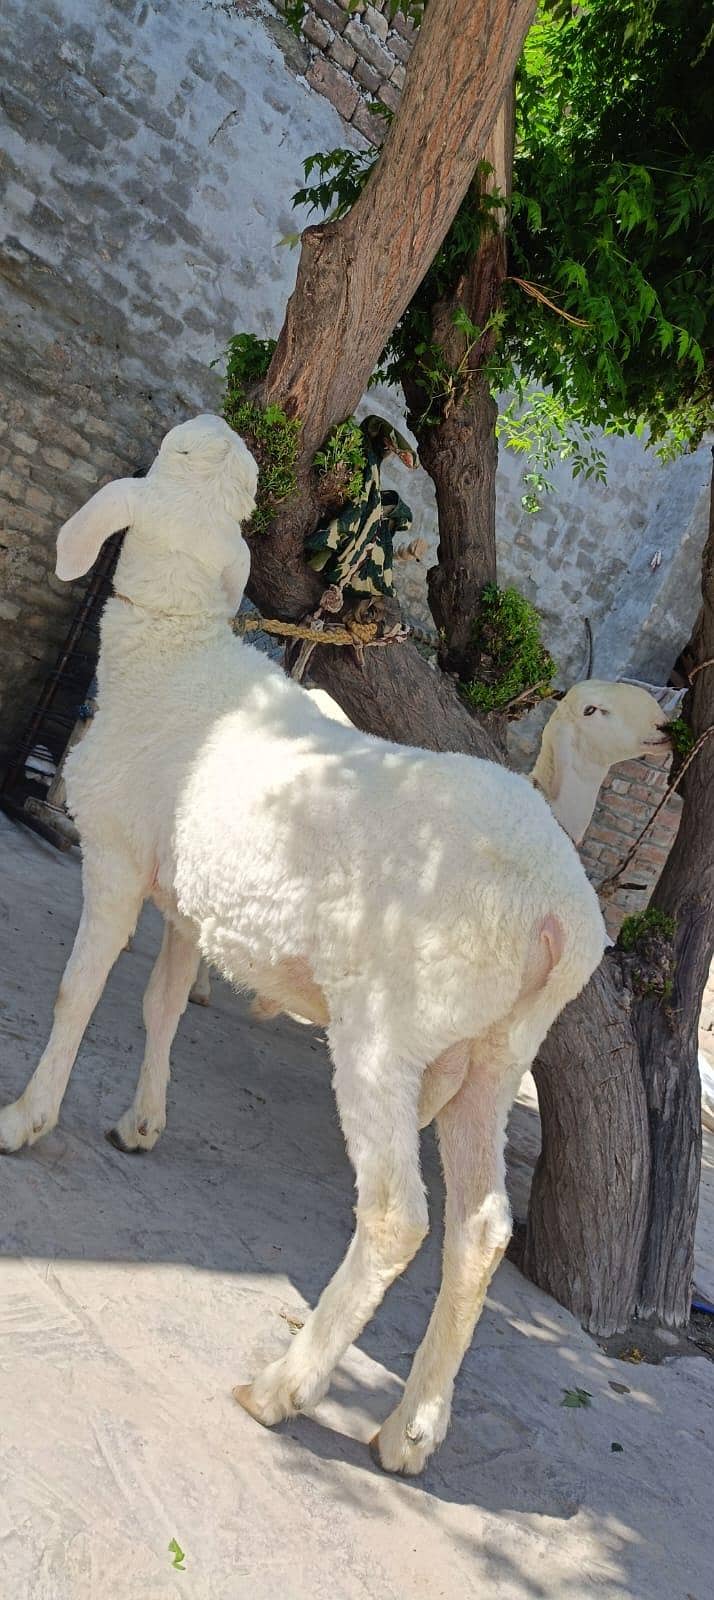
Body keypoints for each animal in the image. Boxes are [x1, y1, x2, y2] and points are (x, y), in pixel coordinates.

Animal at [0, 414, 608, 1475]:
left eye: (171, 459)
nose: (217, 425)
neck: (177, 651)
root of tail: (560, 913)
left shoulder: (116, 857)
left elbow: (80, 992)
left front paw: (26, 1118)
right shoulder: (194, 902)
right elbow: (161, 1003)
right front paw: (141, 1123)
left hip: (389, 1031)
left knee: (400, 1216)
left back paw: (286, 1387)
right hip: (496, 1052)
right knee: (481, 1230)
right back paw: (410, 1429)